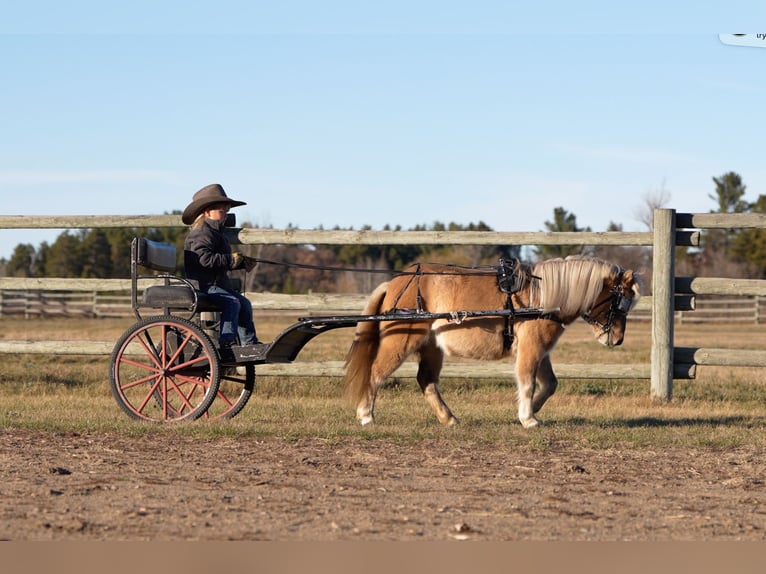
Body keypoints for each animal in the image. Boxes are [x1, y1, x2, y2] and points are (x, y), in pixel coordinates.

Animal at [344, 256, 640, 428]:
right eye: (620, 301)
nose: (617, 339)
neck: (543, 296)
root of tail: (395, 282)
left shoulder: (541, 350)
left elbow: (550, 384)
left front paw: (531, 410)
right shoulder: (532, 347)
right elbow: (528, 382)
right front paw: (528, 418)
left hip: (431, 347)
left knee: (426, 381)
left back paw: (448, 419)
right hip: (401, 340)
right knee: (375, 373)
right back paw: (366, 415)